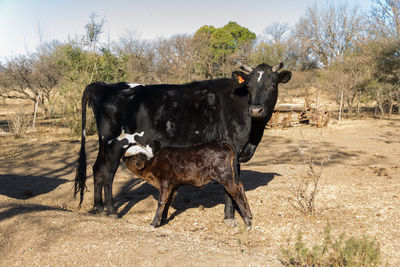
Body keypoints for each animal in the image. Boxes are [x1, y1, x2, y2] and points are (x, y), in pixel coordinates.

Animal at [123, 142, 252, 228]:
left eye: (133, 157)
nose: (123, 158)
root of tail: (224, 144)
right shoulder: (174, 185)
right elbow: (168, 201)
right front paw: (164, 218)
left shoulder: (165, 182)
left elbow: (161, 201)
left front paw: (154, 223)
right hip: (232, 177)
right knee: (241, 187)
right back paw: (250, 215)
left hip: (225, 177)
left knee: (236, 193)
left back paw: (247, 221)